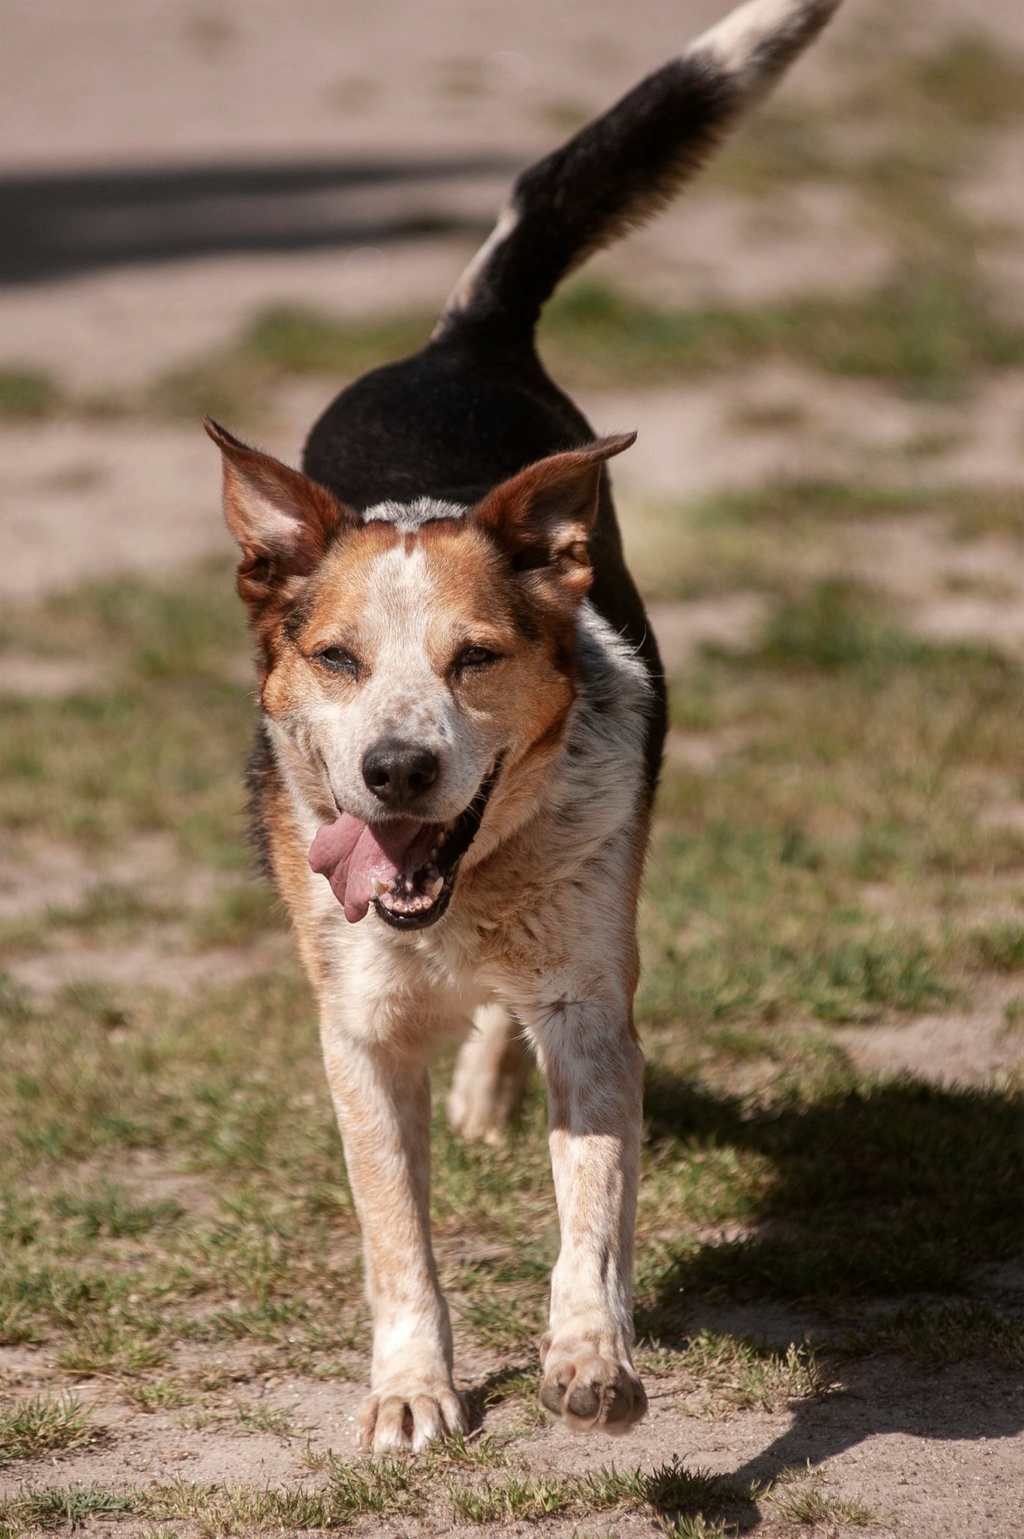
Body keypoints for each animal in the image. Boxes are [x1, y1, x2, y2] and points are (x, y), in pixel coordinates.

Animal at [206, 0, 837, 1452]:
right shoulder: (357, 1031)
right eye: (336, 658)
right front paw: (411, 1388)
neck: (462, 901)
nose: (396, 769)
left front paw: (591, 1358)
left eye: (476, 656)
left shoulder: (595, 1005)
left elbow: (591, 1204)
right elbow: (394, 1227)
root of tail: (461, 341)